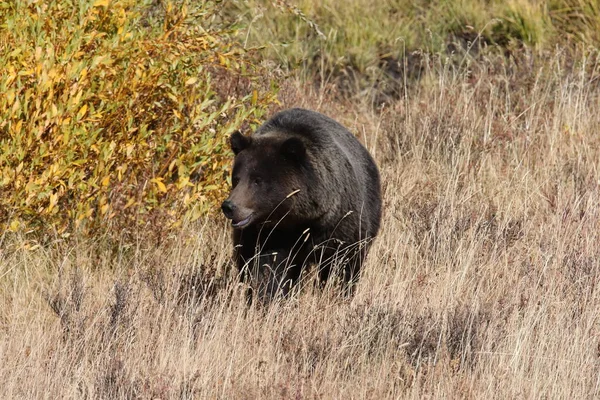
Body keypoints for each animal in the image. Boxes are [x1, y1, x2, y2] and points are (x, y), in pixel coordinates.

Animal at [219, 107, 380, 300]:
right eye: (236, 178)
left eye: (258, 180)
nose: (230, 206)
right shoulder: (267, 235)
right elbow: (267, 268)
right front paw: (267, 296)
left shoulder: (339, 224)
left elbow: (344, 262)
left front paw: (338, 292)